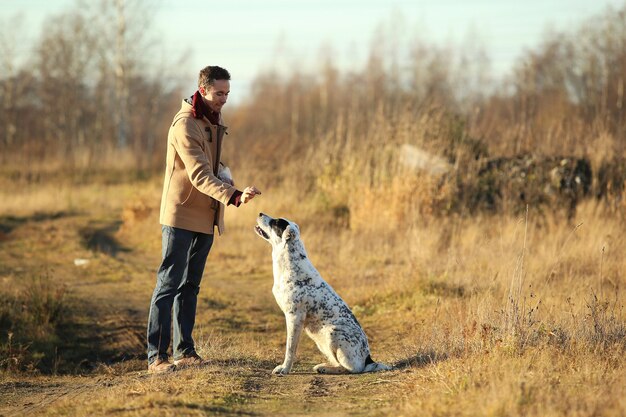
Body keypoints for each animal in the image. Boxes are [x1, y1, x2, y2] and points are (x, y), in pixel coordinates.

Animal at [251, 213, 388, 376]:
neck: (290, 263)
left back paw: (326, 368)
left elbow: (290, 348)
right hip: (322, 341)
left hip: (332, 332)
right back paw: (323, 366)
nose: (260, 213)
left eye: (276, 223)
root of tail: (368, 359)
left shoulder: (294, 317)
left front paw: (284, 369)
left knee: (352, 368)